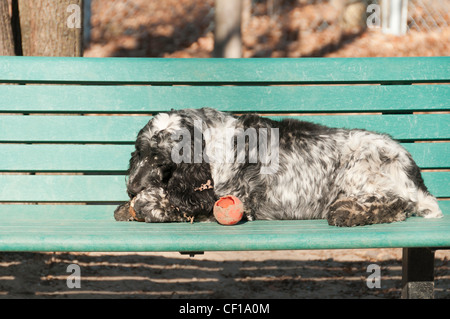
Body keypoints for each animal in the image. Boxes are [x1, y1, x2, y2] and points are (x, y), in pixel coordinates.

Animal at [114, 108, 442, 228]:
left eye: (161, 161)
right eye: (139, 152)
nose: (131, 187)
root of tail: (413, 170)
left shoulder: (229, 200)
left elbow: (169, 203)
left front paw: (143, 203)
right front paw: (125, 206)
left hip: (361, 169)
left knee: (399, 203)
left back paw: (348, 212)